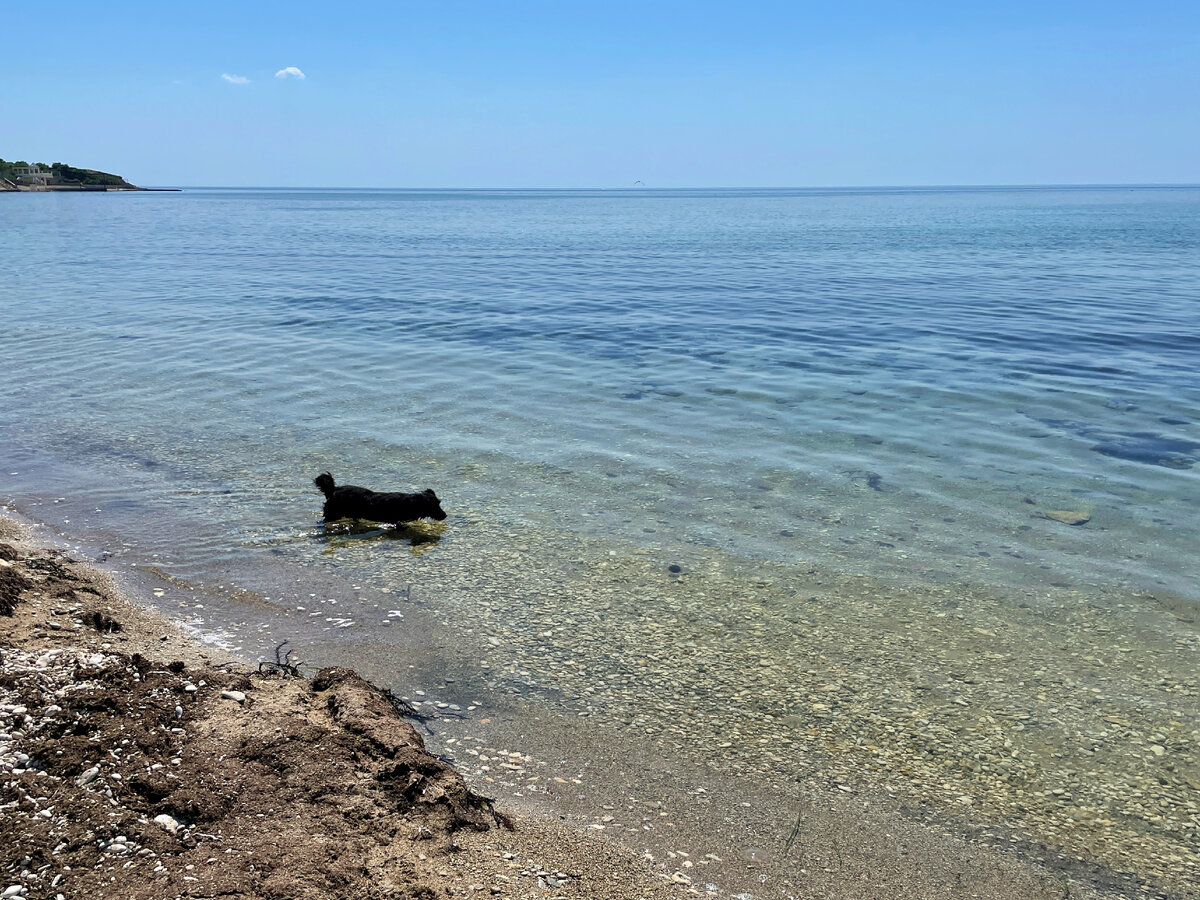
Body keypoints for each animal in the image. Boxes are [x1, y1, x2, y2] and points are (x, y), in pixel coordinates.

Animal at [314, 475, 451, 525]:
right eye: (434, 506)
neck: (411, 503)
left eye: (439, 503)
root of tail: (333, 489)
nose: (445, 515)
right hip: (332, 513)